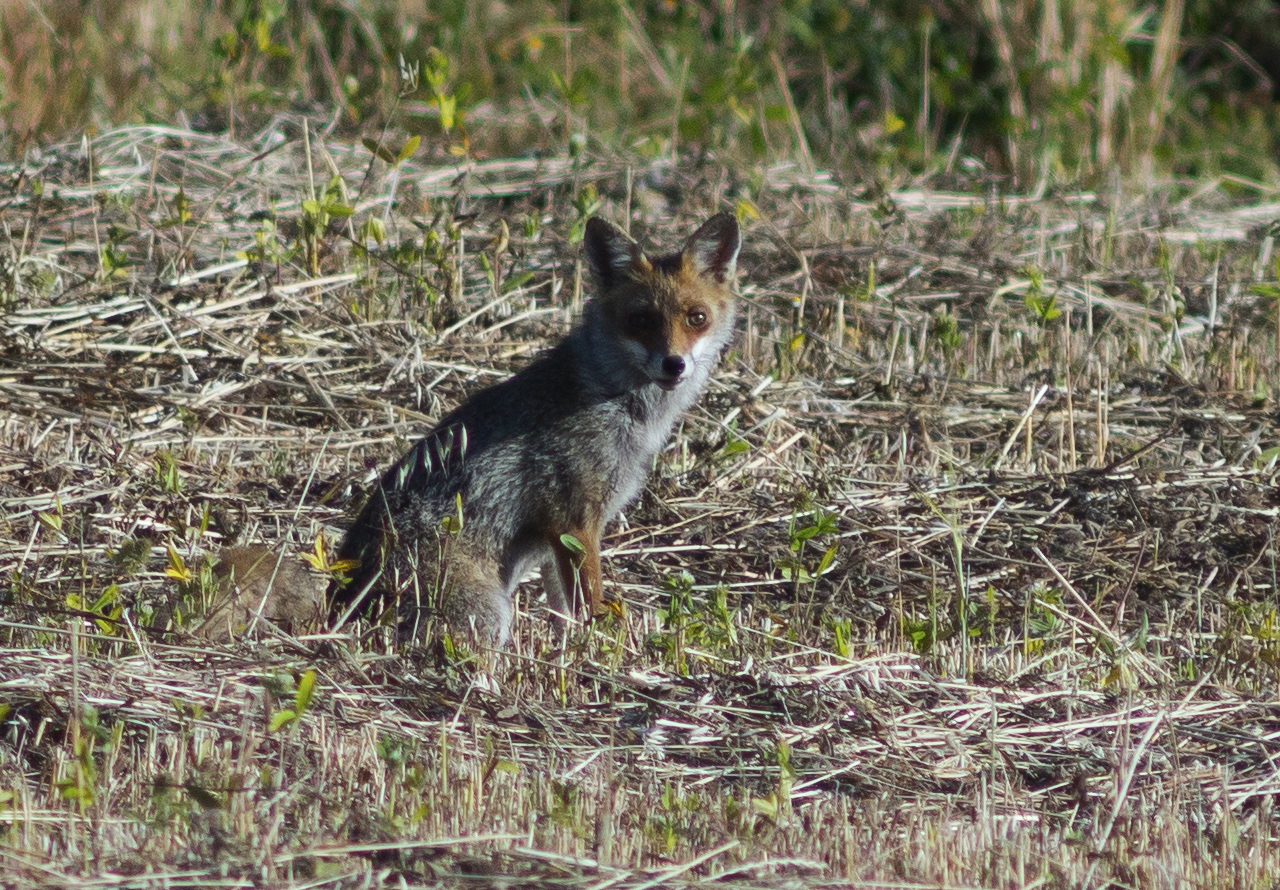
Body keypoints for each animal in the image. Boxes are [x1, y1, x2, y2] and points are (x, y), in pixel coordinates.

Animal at [329, 211, 742, 647]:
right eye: (641, 321)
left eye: (697, 318)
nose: (674, 364)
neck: (608, 397)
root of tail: (342, 597)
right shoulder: (573, 522)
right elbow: (591, 606)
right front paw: (599, 648)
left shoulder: (558, 540)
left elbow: (565, 613)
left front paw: (569, 651)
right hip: (489, 614)